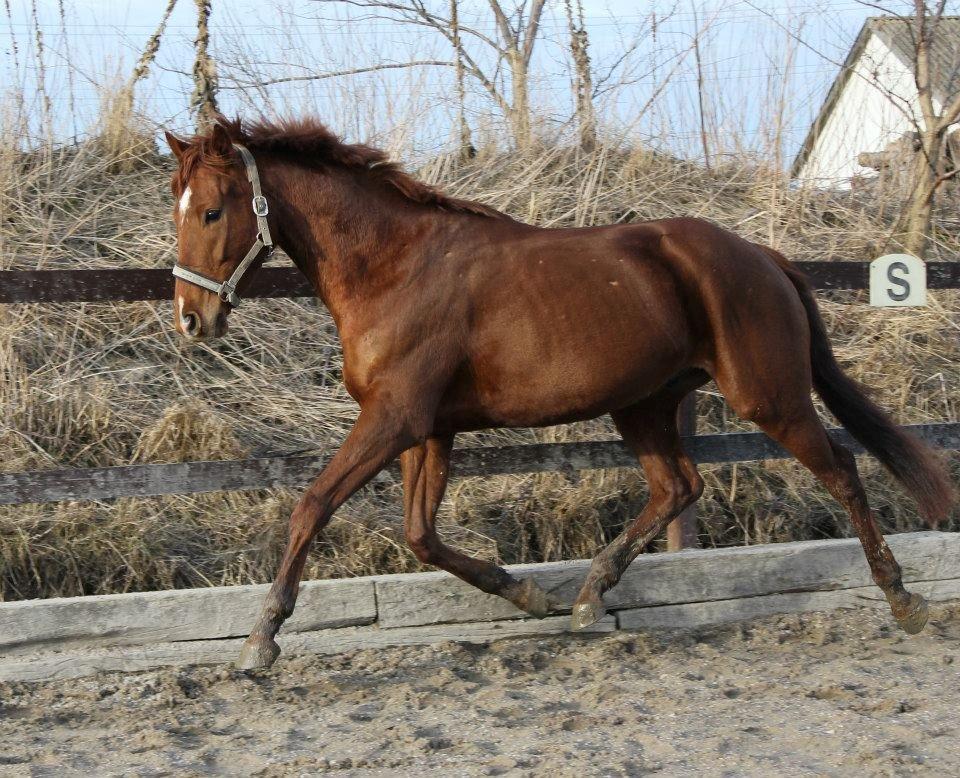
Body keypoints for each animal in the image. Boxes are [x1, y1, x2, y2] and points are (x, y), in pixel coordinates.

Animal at [165, 115, 952, 668]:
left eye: (211, 212)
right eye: (177, 207)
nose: (191, 319)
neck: (393, 267)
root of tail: (762, 256)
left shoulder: (395, 418)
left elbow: (313, 505)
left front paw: (260, 641)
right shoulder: (429, 428)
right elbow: (421, 536)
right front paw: (528, 593)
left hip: (769, 397)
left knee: (841, 471)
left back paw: (903, 600)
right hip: (643, 403)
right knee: (679, 485)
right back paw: (585, 598)